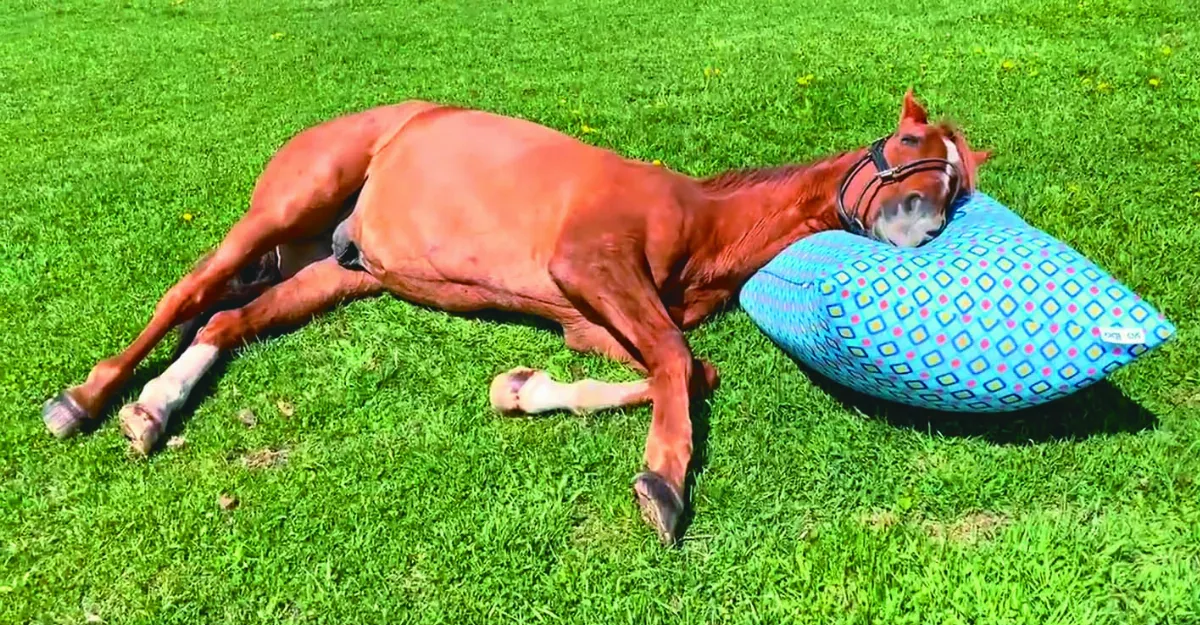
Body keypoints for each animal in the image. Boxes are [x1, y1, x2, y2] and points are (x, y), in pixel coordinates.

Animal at [42, 89, 990, 544]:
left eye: (958, 182)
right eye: (909, 147)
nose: (921, 230)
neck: (697, 220)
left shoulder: (591, 318)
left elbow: (684, 366)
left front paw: (523, 388)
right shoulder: (592, 268)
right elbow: (680, 365)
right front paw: (663, 484)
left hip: (338, 275)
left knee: (226, 321)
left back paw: (155, 408)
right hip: (283, 208)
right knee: (188, 293)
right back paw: (86, 399)